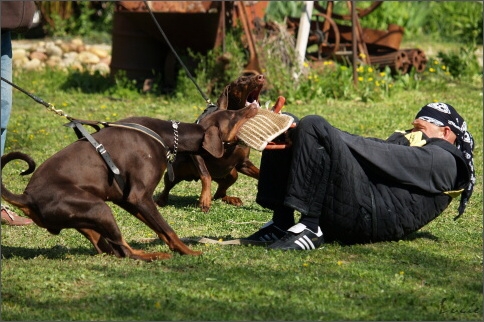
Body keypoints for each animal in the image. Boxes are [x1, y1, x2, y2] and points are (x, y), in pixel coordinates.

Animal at [0, 105, 258, 262]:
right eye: (232, 115)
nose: (253, 106)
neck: (166, 135)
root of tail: (27, 197)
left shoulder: (129, 200)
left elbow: (161, 231)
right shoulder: (140, 197)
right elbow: (168, 229)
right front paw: (190, 252)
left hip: (88, 215)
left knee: (111, 248)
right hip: (99, 208)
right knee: (124, 250)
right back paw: (153, 256)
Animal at [157, 74, 264, 213]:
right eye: (242, 80)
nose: (261, 77)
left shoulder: (243, 163)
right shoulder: (196, 155)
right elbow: (206, 175)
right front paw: (205, 200)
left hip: (232, 174)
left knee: (220, 194)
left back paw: (231, 199)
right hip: (176, 171)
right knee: (168, 184)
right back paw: (161, 200)